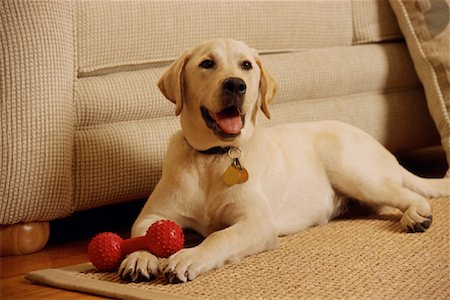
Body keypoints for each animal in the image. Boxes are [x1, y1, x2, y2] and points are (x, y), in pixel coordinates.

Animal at [119, 38, 450, 282]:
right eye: (207, 64)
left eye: (246, 65)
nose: (235, 84)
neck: (214, 158)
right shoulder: (153, 214)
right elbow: (144, 235)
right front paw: (138, 257)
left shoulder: (256, 223)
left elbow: (219, 238)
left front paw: (188, 256)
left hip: (351, 170)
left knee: (410, 195)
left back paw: (416, 216)